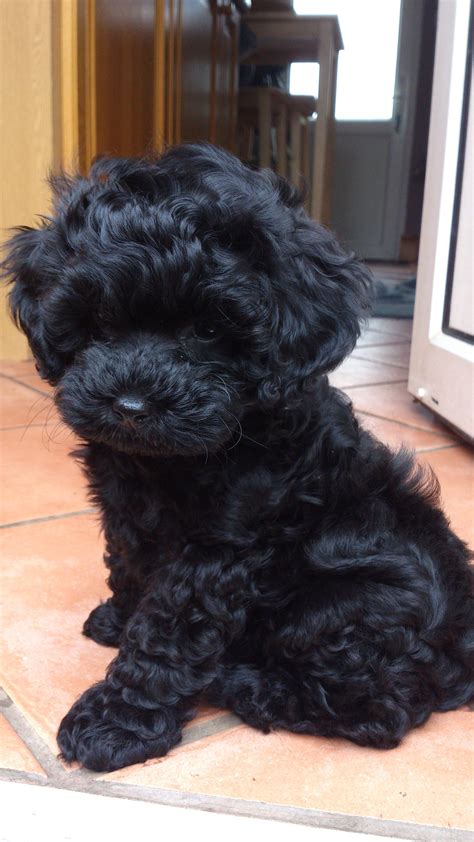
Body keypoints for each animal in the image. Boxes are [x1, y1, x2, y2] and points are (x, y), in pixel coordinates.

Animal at [4, 143, 474, 768]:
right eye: (98, 320)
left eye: (208, 329)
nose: (130, 405)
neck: (181, 459)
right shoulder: (127, 515)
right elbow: (129, 563)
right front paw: (118, 618)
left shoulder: (222, 549)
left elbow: (168, 633)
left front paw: (118, 721)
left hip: (343, 610)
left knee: (378, 708)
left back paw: (238, 680)